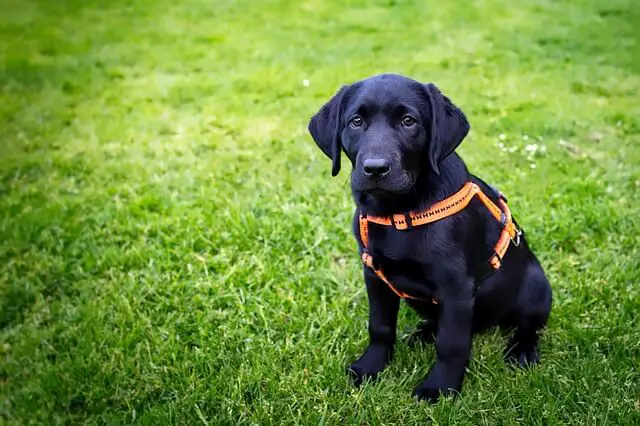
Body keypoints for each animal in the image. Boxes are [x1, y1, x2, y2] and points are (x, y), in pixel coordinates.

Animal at [308, 74, 552, 402]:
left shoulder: (456, 288)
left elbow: (451, 344)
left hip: (536, 286)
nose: (375, 168)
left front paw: (440, 387)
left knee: (530, 325)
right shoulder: (374, 275)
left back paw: (522, 350)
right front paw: (371, 366)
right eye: (356, 122)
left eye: (408, 121)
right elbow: (380, 327)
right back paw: (423, 333)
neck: (399, 213)